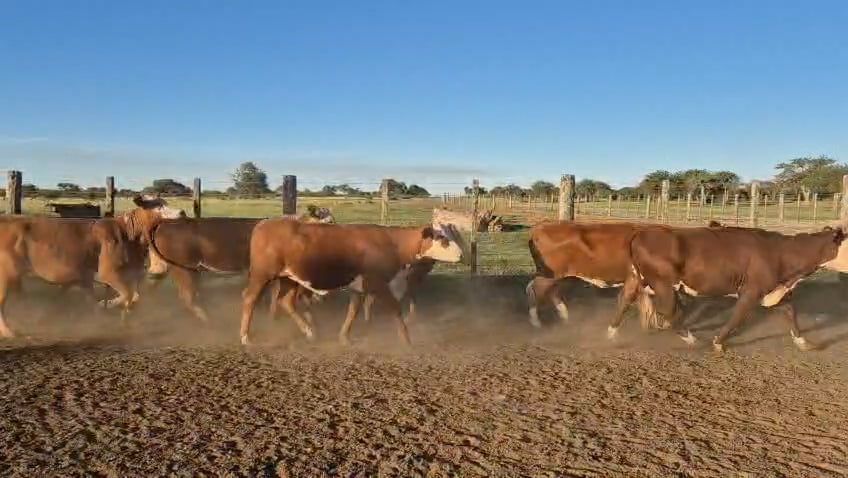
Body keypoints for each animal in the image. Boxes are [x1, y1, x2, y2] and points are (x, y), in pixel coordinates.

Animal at [0, 196, 185, 338]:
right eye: (158, 205)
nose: (182, 212)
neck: (128, 233)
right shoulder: (108, 274)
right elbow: (128, 295)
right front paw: (113, 310)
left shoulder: (90, 277)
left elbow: (131, 296)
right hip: (6, 276)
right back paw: (9, 332)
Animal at [239, 219, 467, 346]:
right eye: (443, 239)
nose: (462, 256)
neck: (393, 243)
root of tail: (263, 224)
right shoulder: (379, 284)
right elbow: (395, 310)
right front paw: (406, 340)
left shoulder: (360, 288)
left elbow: (353, 311)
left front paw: (344, 337)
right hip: (262, 274)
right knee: (250, 299)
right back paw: (246, 338)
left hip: (289, 278)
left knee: (286, 302)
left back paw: (310, 332)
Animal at [526, 221, 666, 332]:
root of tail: (540, 227)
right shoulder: (636, 279)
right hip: (548, 275)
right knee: (534, 289)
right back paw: (536, 322)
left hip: (554, 275)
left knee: (549, 290)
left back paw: (565, 318)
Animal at [626, 224, 847, 352]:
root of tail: (641, 234)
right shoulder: (751, 291)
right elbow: (737, 317)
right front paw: (718, 342)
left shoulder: (775, 292)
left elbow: (791, 313)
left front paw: (804, 342)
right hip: (664, 284)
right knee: (669, 312)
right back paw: (691, 339)